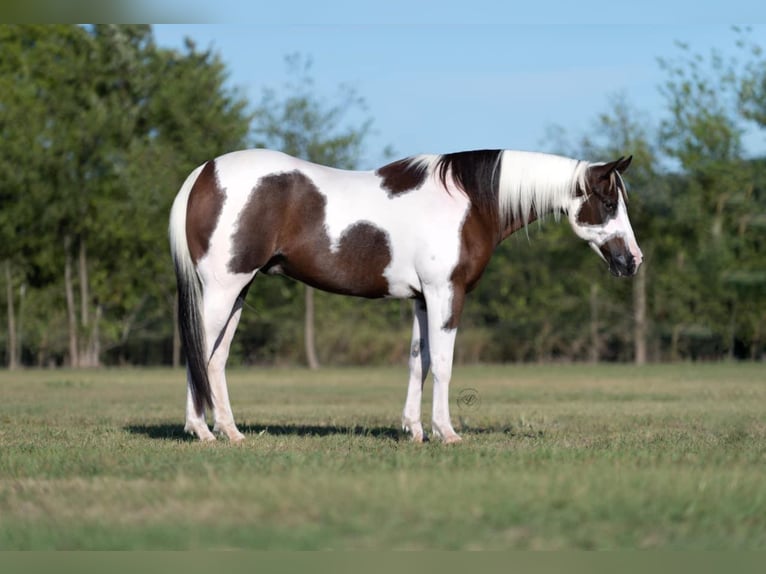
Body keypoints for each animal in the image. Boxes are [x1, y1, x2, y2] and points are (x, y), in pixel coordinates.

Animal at [171, 148, 644, 446]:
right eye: (608, 202)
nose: (633, 261)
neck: (470, 202)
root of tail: (204, 172)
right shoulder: (445, 293)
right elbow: (445, 365)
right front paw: (446, 433)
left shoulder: (421, 299)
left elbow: (421, 361)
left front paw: (414, 430)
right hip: (223, 288)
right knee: (200, 354)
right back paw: (202, 431)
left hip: (239, 290)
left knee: (216, 359)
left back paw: (231, 432)